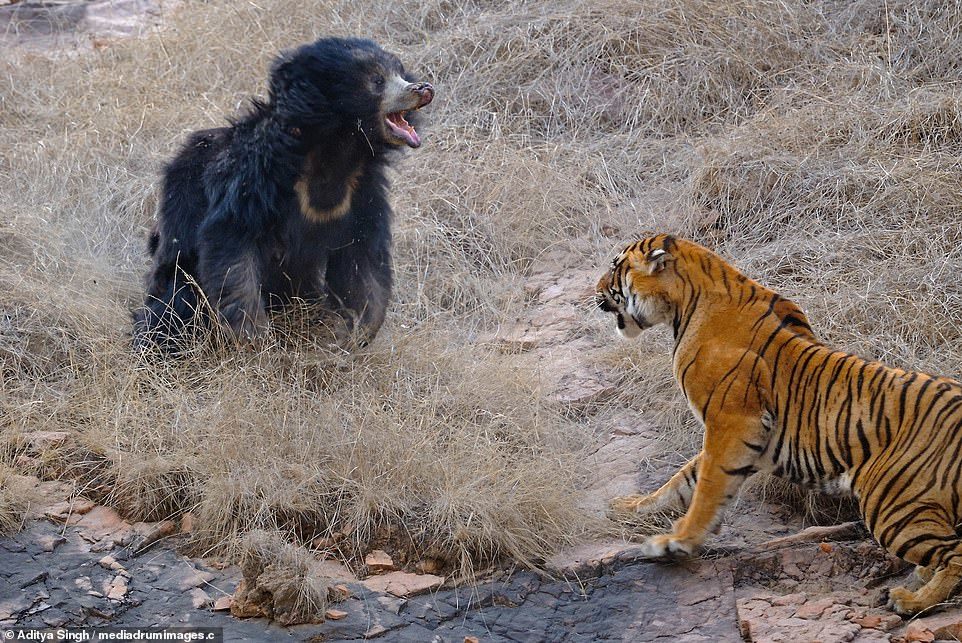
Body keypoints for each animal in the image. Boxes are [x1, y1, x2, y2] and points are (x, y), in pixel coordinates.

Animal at [133, 37, 434, 350]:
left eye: (399, 72)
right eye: (377, 80)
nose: (424, 88)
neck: (336, 152)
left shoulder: (362, 193)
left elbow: (361, 259)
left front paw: (356, 333)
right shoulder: (255, 178)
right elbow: (231, 242)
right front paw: (253, 336)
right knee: (176, 302)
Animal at [596, 235, 956, 612]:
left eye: (615, 267)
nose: (594, 291)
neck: (685, 304)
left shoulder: (734, 423)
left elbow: (707, 487)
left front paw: (676, 541)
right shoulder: (745, 439)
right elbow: (683, 481)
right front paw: (631, 507)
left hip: (892, 504)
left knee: (954, 555)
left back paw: (912, 599)